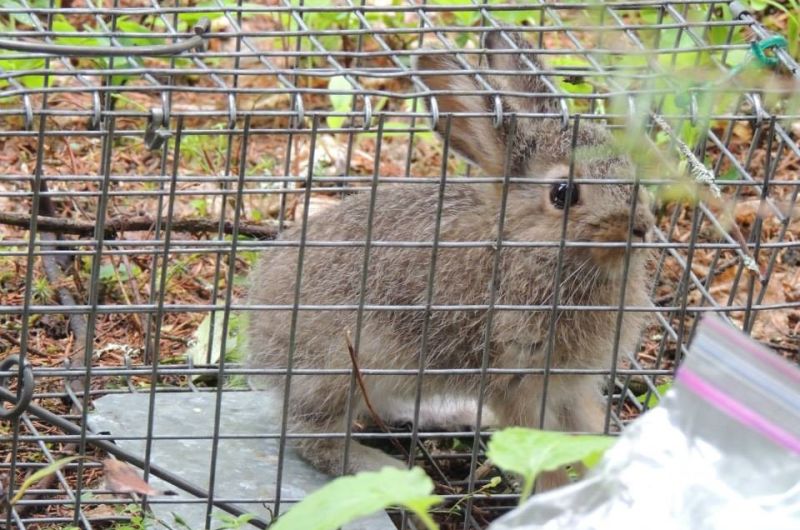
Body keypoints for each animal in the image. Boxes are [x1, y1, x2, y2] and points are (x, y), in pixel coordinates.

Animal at [246, 31, 655, 485]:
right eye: (563, 194)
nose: (641, 226)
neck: (528, 249)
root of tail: (258, 324)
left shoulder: (571, 386)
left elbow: (587, 432)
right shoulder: (517, 378)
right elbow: (540, 453)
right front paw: (554, 492)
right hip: (344, 364)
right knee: (311, 434)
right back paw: (378, 467)